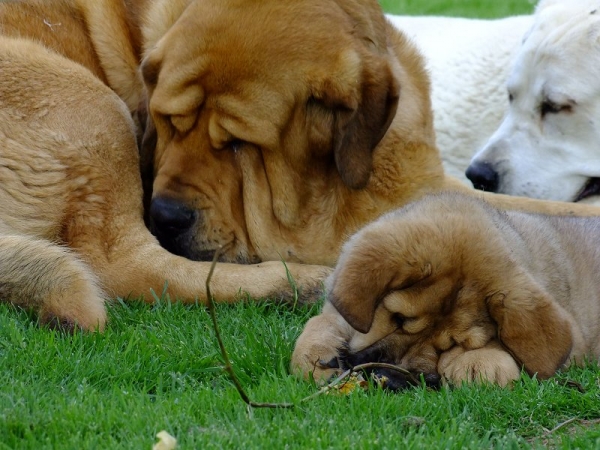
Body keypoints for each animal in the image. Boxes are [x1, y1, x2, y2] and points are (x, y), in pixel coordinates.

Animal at [292, 193, 600, 386]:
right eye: (398, 319)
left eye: (455, 343)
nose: (392, 378)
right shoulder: (336, 308)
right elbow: (319, 323)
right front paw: (316, 357)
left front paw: (480, 364)